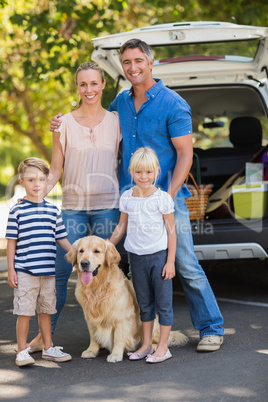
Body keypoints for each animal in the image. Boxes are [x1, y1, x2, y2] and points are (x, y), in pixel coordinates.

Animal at [66, 234, 188, 362]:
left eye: (97, 251)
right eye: (81, 251)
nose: (84, 263)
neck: (98, 287)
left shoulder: (122, 318)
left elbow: (118, 338)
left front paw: (115, 354)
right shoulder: (90, 317)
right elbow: (93, 336)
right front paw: (91, 351)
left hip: (154, 324)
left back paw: (155, 348)